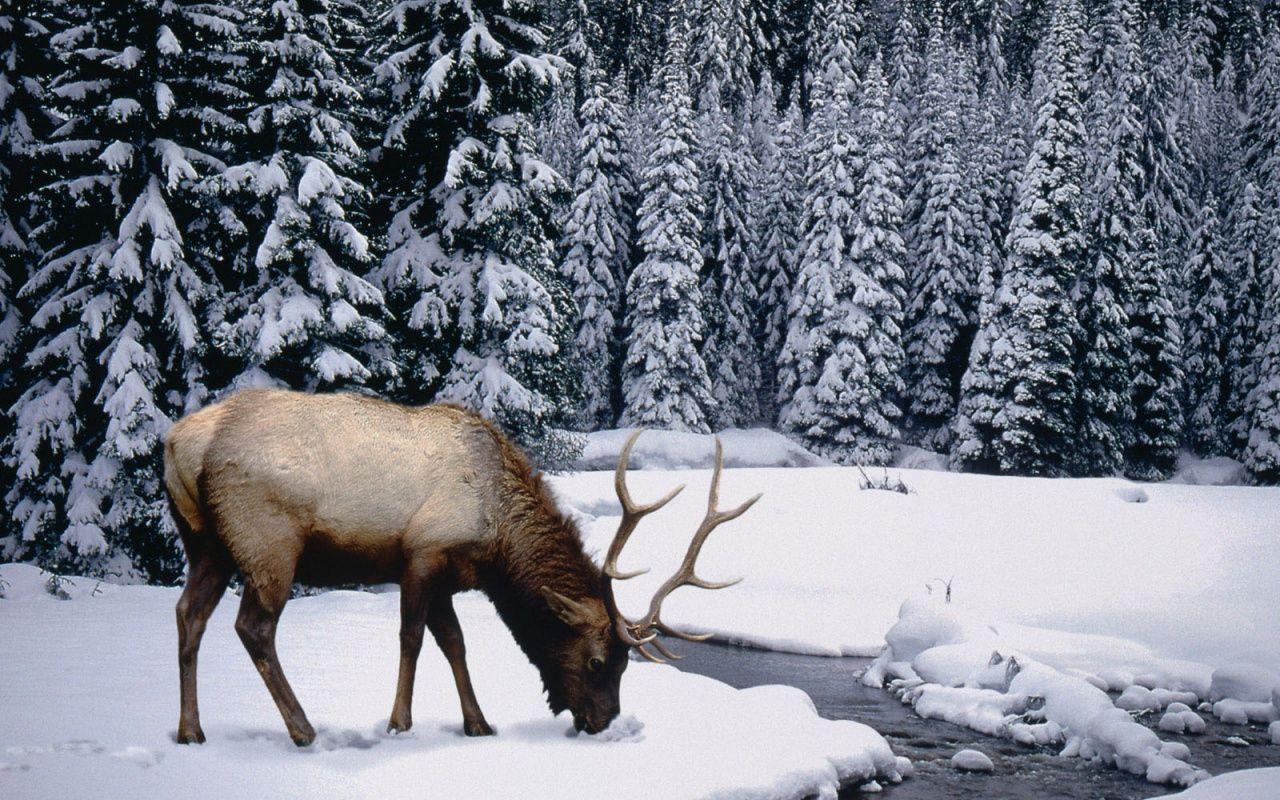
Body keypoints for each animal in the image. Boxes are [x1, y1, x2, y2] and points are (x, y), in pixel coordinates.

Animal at [163, 388, 759, 746]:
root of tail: (176, 444)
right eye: (597, 662)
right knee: (253, 627)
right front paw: (399, 723)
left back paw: (191, 729)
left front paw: (479, 722)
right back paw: (303, 728)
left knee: (188, 614)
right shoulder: (421, 553)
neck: (497, 538)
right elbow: (412, 639)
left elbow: (455, 642)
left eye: (626, 665)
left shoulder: (450, 578)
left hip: (206, 544)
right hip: (268, 542)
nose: (603, 721)